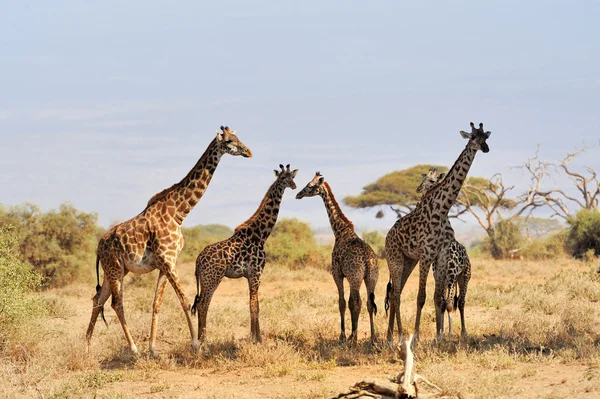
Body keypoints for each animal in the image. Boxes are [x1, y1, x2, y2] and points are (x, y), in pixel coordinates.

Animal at [85, 126, 252, 358]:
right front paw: (195, 345)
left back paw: (86, 348)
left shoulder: (165, 264)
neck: (179, 213)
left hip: (115, 271)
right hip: (115, 269)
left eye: (238, 137)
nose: (248, 152)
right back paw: (134, 349)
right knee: (116, 304)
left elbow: (157, 304)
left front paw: (154, 350)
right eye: (229, 141)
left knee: (98, 300)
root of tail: (98, 248)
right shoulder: (168, 261)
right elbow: (185, 301)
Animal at [192, 164, 298, 346]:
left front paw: (254, 337)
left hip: (206, 280)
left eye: (292, 177)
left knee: (199, 302)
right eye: (283, 178)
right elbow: (255, 305)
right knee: (203, 304)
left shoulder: (251, 275)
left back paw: (199, 339)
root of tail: (198, 261)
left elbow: (252, 304)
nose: (294, 186)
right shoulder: (256, 273)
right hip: (212, 278)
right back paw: (203, 341)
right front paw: (258, 339)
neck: (261, 234)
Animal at [296, 173, 380, 346]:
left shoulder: (337, 273)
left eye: (309, 186)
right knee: (369, 303)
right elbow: (349, 302)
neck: (340, 231)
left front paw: (343, 336)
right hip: (371, 277)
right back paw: (373, 339)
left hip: (355, 277)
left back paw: (354, 338)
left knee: (356, 302)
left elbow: (342, 302)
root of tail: (368, 261)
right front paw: (350, 336)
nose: (298, 194)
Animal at [414, 168, 472, 340]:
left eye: (432, 181)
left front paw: (449, 333)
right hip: (451, 279)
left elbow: (449, 303)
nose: (419, 189)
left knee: (460, 302)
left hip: (463, 277)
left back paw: (463, 332)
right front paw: (440, 332)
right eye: (423, 179)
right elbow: (438, 300)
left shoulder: (451, 274)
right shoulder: (439, 275)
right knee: (449, 300)